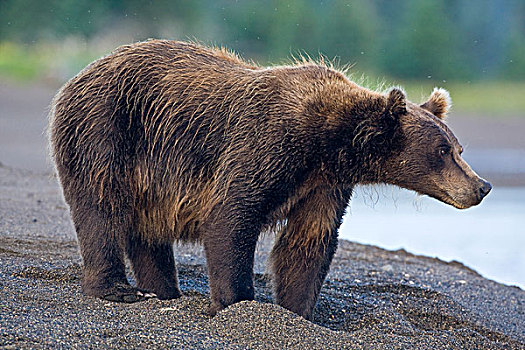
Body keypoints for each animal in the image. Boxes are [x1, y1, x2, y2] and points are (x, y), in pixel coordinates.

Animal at [47, 40, 490, 320]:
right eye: (443, 151)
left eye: (458, 147)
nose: (481, 186)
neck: (329, 144)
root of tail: (79, 74)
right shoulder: (268, 145)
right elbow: (231, 217)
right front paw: (237, 301)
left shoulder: (324, 185)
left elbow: (308, 242)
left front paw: (300, 311)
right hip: (106, 129)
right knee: (101, 208)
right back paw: (115, 288)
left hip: (151, 174)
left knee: (148, 229)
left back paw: (163, 289)